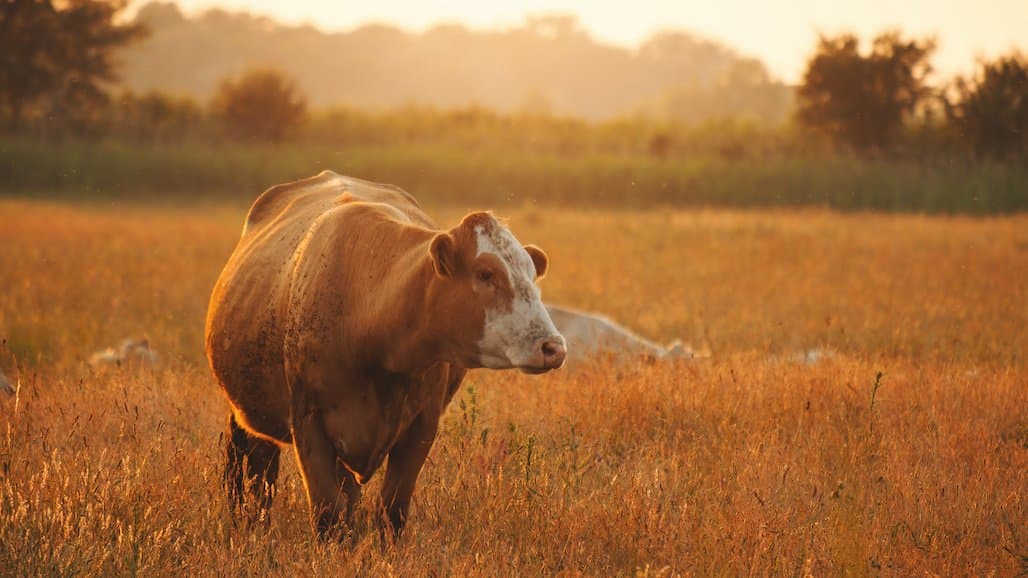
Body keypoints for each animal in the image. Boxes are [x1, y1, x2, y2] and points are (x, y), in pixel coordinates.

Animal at [205, 171, 566, 539]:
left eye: (532, 275)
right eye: (486, 273)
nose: (552, 347)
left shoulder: (421, 425)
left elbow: (391, 509)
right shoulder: (307, 421)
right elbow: (327, 511)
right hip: (247, 417)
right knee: (254, 473)